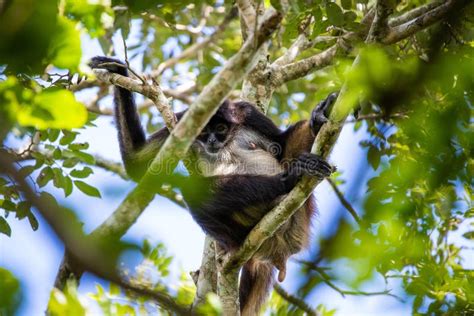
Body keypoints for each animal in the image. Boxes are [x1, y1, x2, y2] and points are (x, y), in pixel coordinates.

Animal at [89, 55, 336, 314]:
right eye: (205, 131)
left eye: (220, 129)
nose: (212, 141)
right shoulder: (182, 121)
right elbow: (137, 164)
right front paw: (118, 69)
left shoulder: (247, 112)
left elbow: (282, 144)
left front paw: (317, 120)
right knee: (194, 194)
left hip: (300, 218)